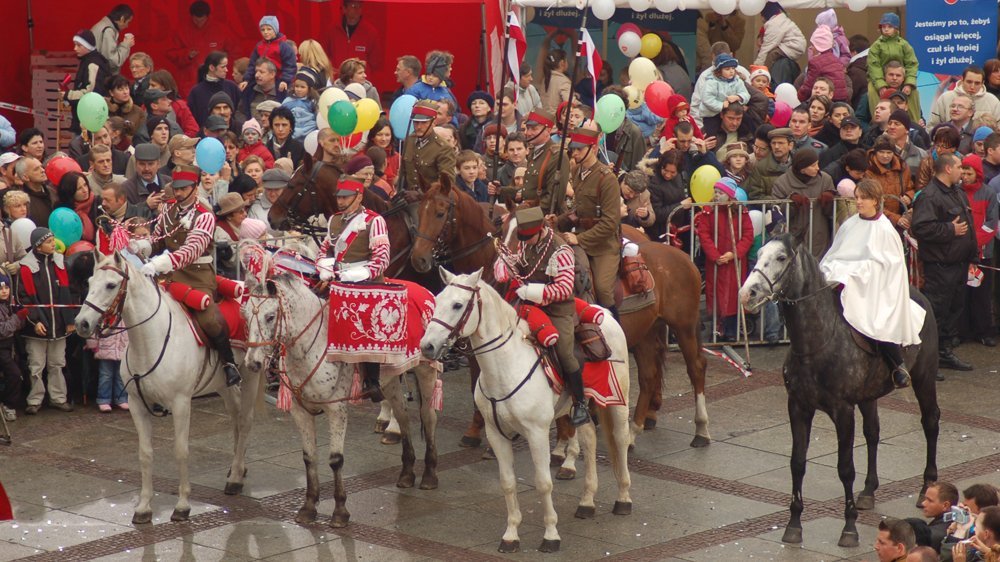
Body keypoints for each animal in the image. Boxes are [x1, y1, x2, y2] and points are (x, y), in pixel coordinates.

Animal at [75, 252, 262, 524]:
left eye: (110, 285)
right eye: (89, 282)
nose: (82, 324)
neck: (150, 339)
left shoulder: (181, 403)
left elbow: (181, 450)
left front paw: (183, 505)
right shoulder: (136, 404)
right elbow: (145, 454)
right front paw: (143, 507)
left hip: (251, 374)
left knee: (246, 420)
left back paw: (236, 478)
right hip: (223, 384)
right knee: (236, 417)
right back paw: (238, 467)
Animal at [240, 258, 440, 524]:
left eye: (271, 316)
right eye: (245, 316)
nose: (253, 363)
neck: (310, 348)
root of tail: (424, 289)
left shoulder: (336, 409)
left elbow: (335, 460)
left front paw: (340, 511)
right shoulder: (299, 411)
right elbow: (309, 457)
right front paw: (308, 507)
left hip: (426, 370)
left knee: (428, 418)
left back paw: (429, 475)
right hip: (391, 380)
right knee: (403, 415)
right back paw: (407, 473)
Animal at [408, 175, 712, 446]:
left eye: (439, 213)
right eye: (419, 212)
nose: (418, 259)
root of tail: (679, 254)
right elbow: (476, 384)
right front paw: (476, 430)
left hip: (684, 326)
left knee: (696, 368)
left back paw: (700, 430)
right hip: (647, 333)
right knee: (649, 375)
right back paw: (634, 431)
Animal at [422, 266, 632, 552]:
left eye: (457, 305)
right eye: (437, 300)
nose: (427, 346)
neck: (505, 366)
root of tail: (606, 313)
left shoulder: (536, 433)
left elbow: (543, 483)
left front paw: (551, 534)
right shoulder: (495, 434)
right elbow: (508, 483)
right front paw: (511, 534)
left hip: (618, 401)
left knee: (620, 440)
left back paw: (623, 498)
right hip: (580, 404)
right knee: (589, 437)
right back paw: (587, 502)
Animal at [740, 234, 940, 544]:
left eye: (781, 258)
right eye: (759, 253)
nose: (747, 293)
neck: (815, 344)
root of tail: (920, 294)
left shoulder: (842, 411)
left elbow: (845, 468)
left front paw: (849, 528)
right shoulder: (798, 406)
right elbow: (797, 462)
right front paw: (794, 524)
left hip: (924, 377)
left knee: (930, 422)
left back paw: (926, 486)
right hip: (869, 397)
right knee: (873, 432)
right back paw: (868, 491)